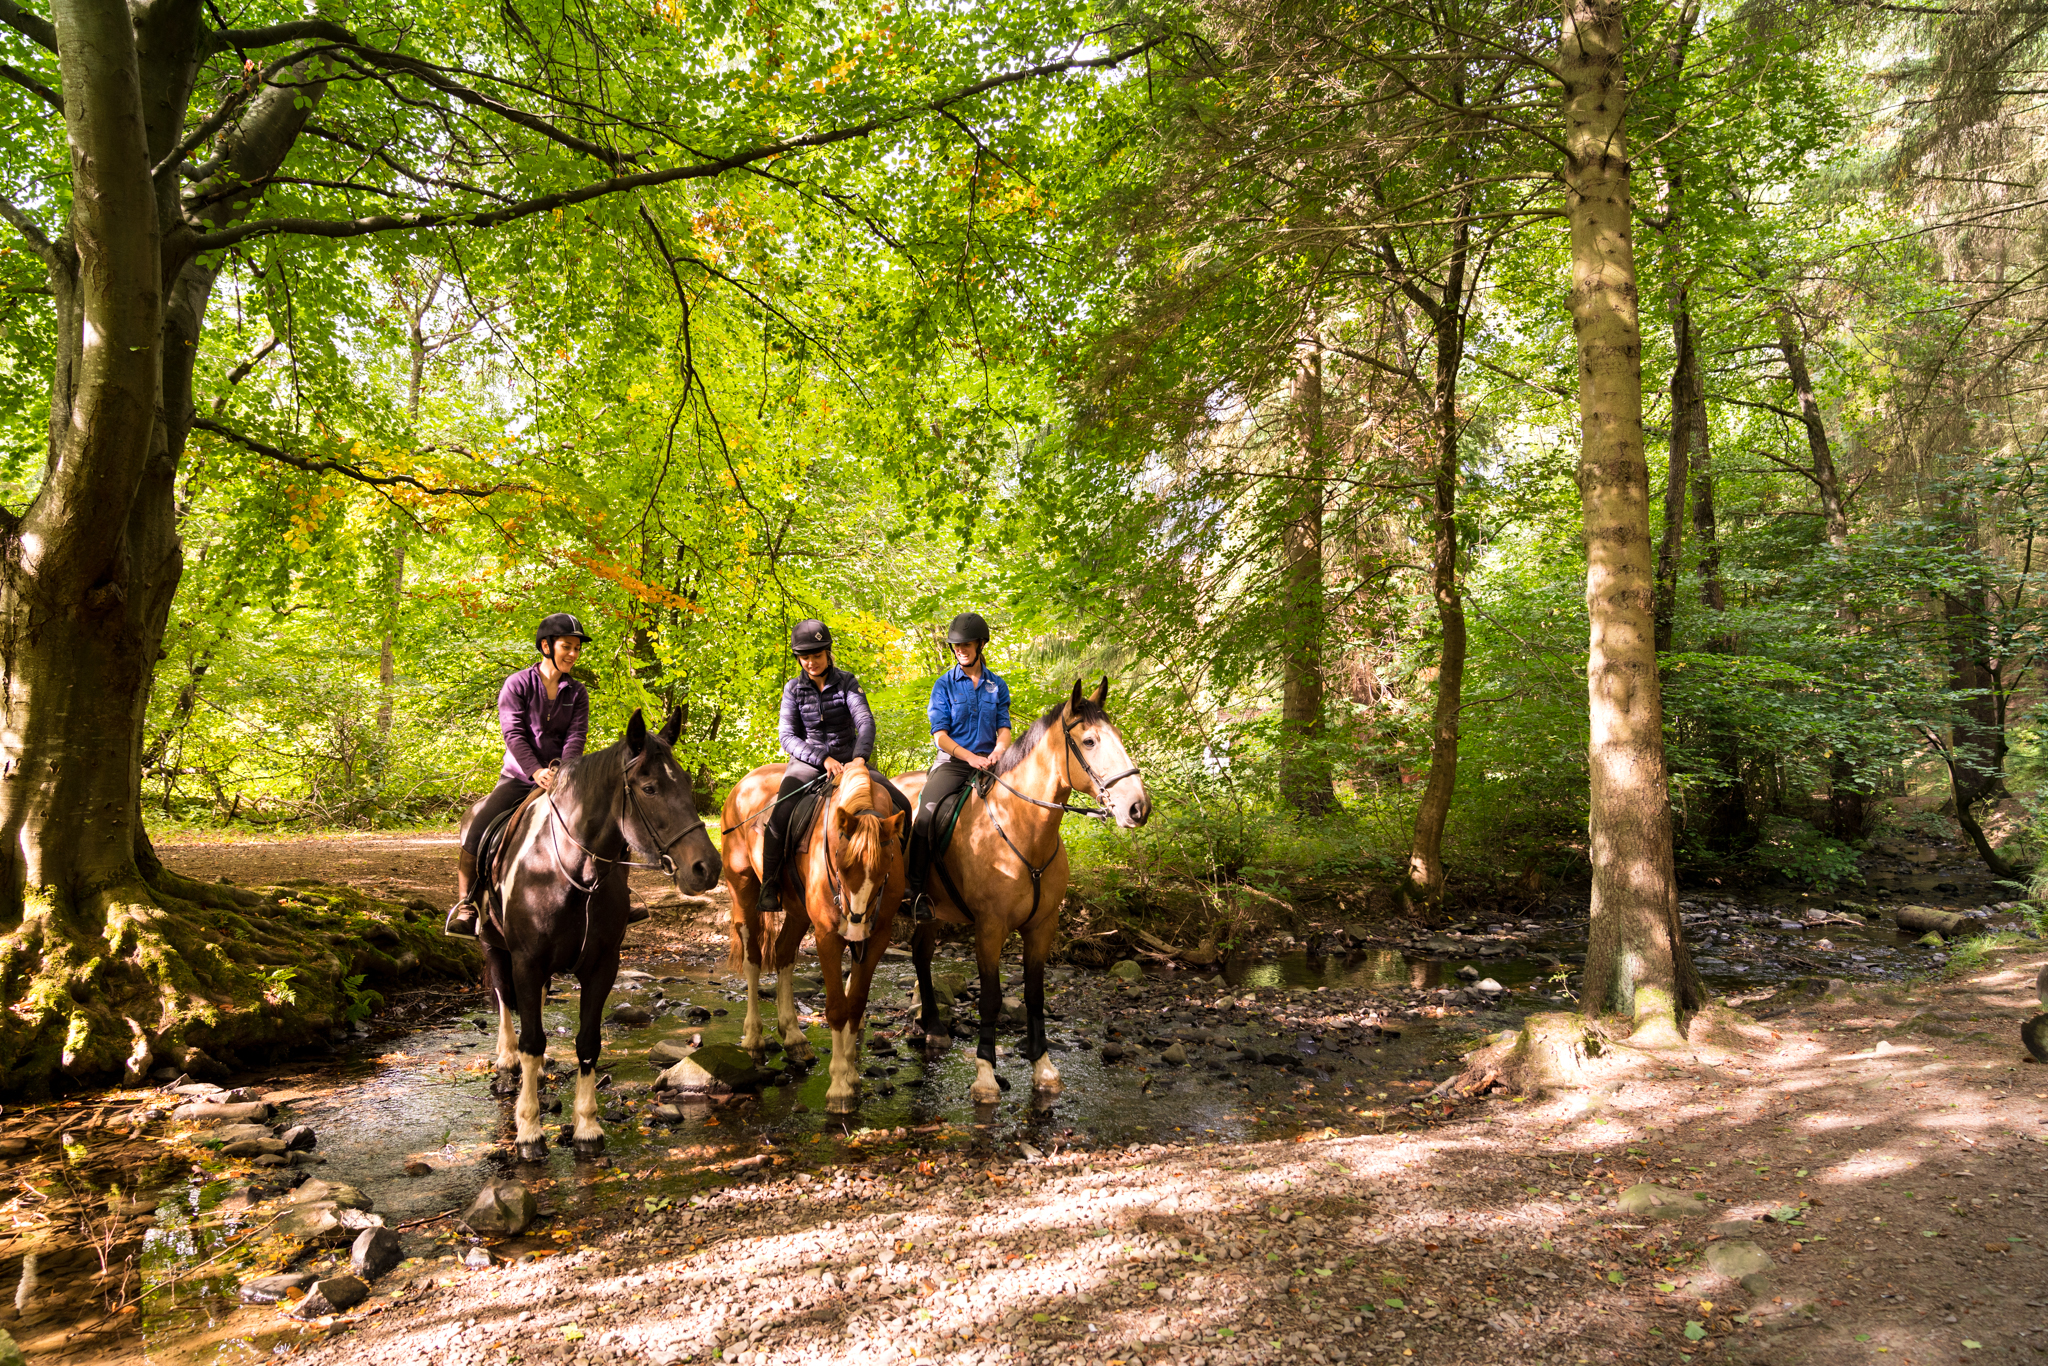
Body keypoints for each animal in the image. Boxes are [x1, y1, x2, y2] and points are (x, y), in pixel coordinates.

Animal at [470, 707, 721, 1161]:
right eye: (649, 788)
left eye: (687, 783)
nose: (706, 869)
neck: (572, 871)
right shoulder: (527, 962)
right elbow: (533, 1040)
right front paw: (529, 1130)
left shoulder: (602, 966)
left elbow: (588, 1042)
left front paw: (587, 1125)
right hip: (492, 945)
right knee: (502, 998)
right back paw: (506, 1059)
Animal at [720, 758, 908, 1112]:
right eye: (841, 863)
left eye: (887, 865)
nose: (856, 924)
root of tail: (743, 784)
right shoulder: (827, 936)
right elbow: (836, 1008)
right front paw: (839, 1087)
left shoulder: (877, 939)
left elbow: (855, 1005)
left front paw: (850, 1075)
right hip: (744, 892)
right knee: (753, 960)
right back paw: (753, 1038)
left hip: (797, 912)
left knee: (783, 954)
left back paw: (794, 1039)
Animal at [897, 677, 1151, 1105]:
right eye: (1089, 741)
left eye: (1116, 736)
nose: (1138, 807)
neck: (1021, 828)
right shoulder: (990, 927)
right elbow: (991, 998)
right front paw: (985, 1075)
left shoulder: (1042, 926)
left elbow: (1035, 994)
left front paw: (1043, 1067)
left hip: (934, 913)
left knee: (920, 953)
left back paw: (932, 1025)